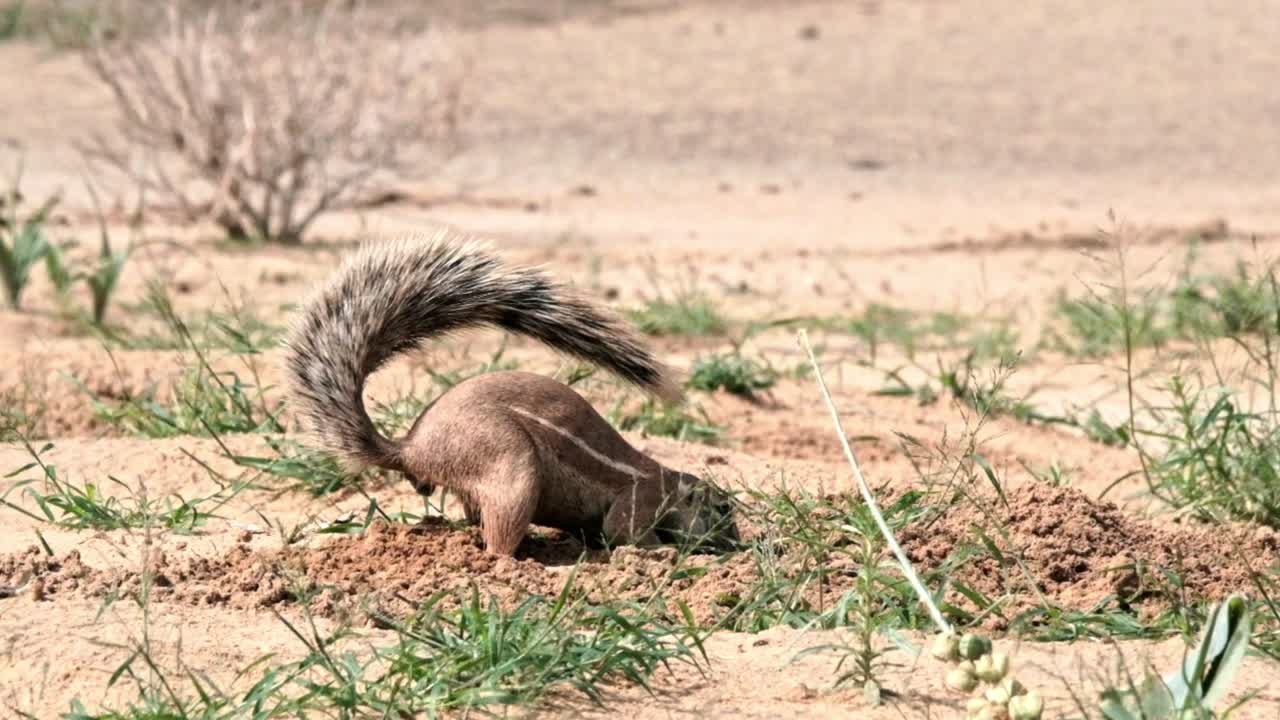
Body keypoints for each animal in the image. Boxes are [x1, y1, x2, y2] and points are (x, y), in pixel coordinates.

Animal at [282, 229, 739, 556]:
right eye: (722, 509)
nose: (735, 543)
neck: (666, 481)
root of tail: (411, 449)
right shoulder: (640, 499)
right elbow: (622, 532)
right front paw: (663, 553)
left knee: (476, 518)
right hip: (512, 462)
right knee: (498, 540)